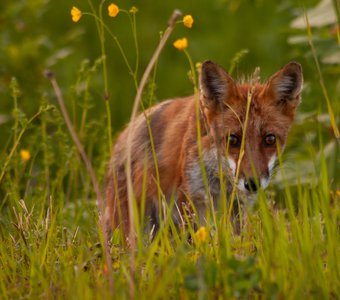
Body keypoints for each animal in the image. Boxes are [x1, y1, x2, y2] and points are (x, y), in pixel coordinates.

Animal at [105, 60, 302, 239]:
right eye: (233, 139)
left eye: (270, 139)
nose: (252, 184)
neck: (220, 179)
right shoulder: (188, 200)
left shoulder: (237, 207)